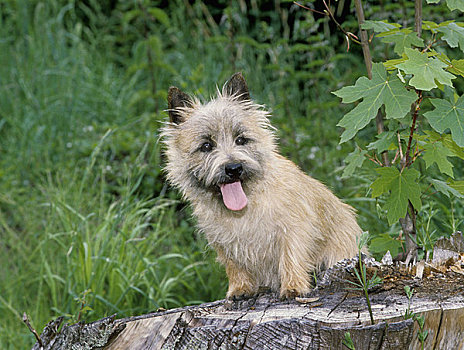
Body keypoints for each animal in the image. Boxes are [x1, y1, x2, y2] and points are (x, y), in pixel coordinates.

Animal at [163, 72, 362, 300]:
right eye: (206, 145)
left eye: (241, 139)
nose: (234, 168)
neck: (243, 210)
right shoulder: (223, 242)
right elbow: (234, 264)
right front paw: (239, 288)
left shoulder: (294, 227)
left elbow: (291, 255)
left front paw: (293, 286)